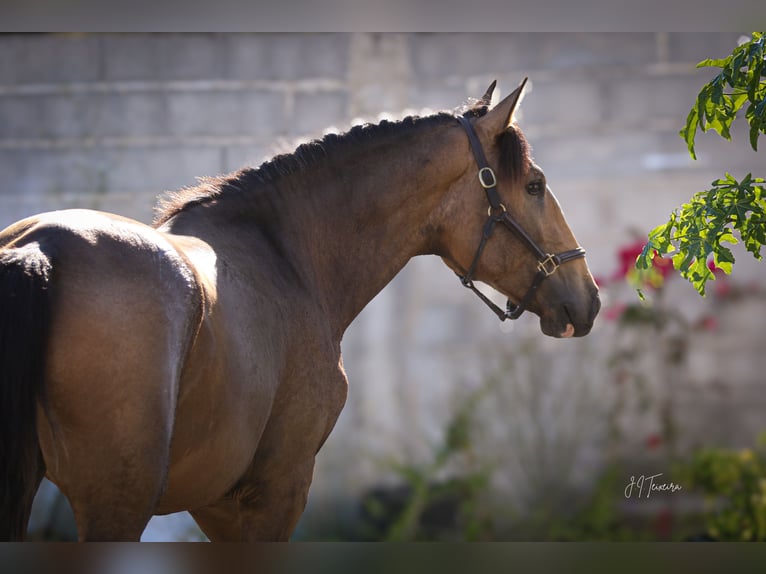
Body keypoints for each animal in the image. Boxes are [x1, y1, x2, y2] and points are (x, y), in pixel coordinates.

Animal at [0, 79, 600, 544]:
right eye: (535, 185)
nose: (589, 298)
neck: (288, 255)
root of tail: (41, 247)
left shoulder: (219, 500)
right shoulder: (276, 488)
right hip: (118, 502)